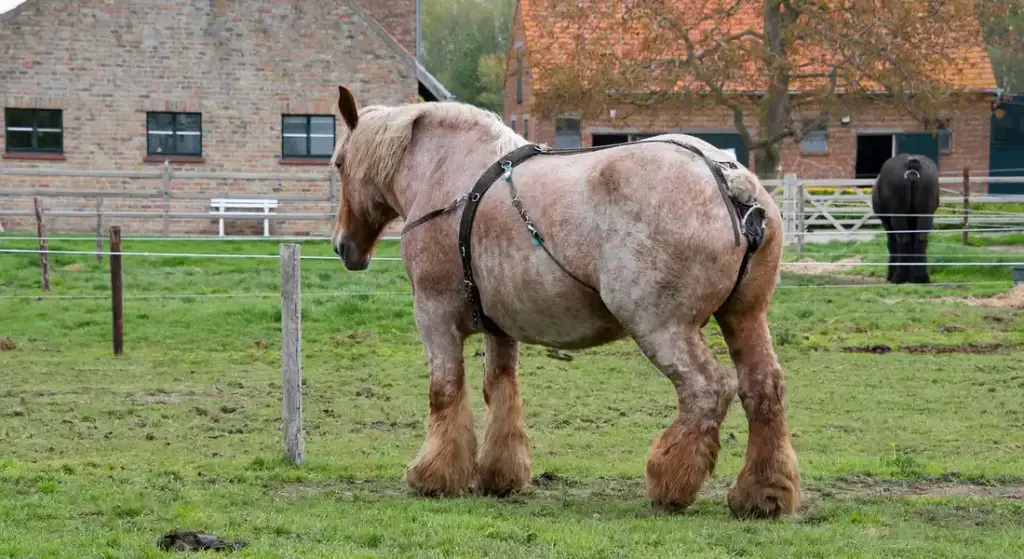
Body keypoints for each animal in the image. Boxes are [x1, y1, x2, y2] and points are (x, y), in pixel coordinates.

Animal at [328, 85, 800, 518]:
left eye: (338, 163)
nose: (342, 246)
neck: (450, 176)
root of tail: (728, 179)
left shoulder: (434, 318)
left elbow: (445, 393)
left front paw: (434, 476)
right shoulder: (501, 328)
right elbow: (500, 391)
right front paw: (499, 474)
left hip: (662, 328)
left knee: (707, 390)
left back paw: (671, 482)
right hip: (744, 317)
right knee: (764, 389)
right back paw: (761, 493)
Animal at [871, 154, 940, 284]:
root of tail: (912, 164)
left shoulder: (887, 222)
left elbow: (892, 244)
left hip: (898, 216)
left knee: (903, 240)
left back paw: (899, 276)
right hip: (925, 214)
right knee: (921, 238)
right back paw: (920, 277)